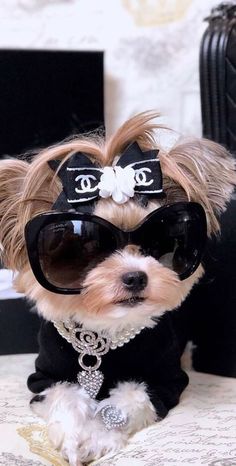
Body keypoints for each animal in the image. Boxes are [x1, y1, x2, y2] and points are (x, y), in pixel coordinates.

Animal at [0, 112, 235, 462]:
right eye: (81, 247)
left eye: (161, 242)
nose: (135, 276)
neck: (104, 335)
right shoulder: (44, 380)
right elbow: (65, 396)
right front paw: (76, 438)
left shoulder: (164, 381)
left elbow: (130, 398)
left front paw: (99, 436)